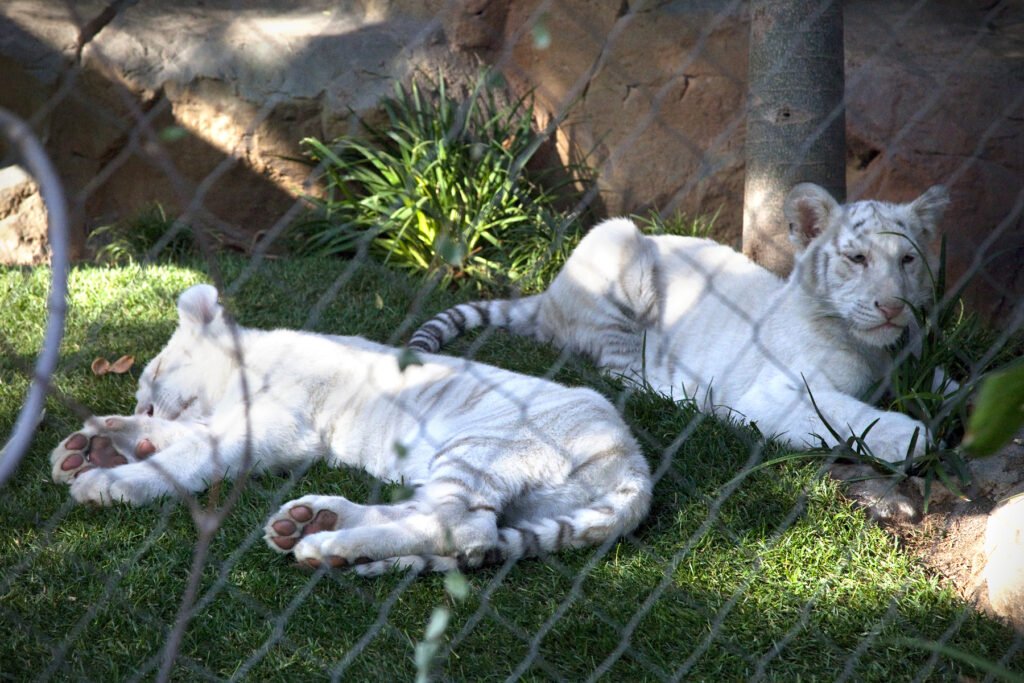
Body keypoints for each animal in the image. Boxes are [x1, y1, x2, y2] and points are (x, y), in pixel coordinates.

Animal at [49, 284, 652, 575]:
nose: (146, 407)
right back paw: (314, 527)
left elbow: (190, 453)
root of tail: (634, 462)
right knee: (443, 521)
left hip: (481, 446)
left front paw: (108, 479)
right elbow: (185, 440)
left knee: (461, 528)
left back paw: (328, 540)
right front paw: (93, 445)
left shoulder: (268, 428)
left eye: (152, 376)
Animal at [408, 183, 951, 463]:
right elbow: (850, 415)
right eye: (857, 259)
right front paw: (914, 438)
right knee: (622, 374)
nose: (893, 307)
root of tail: (549, 296)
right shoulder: (777, 392)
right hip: (620, 241)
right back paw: (685, 394)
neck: (874, 349)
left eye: (907, 260)